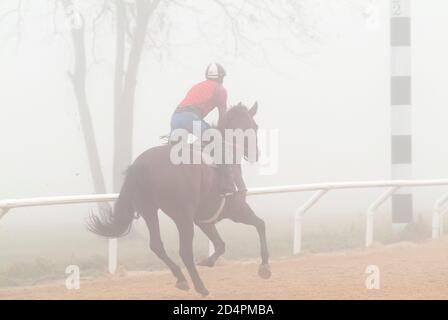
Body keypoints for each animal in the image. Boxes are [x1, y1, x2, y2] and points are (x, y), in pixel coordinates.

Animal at [87, 102, 270, 296]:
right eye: (255, 126)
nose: (255, 154)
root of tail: (141, 165)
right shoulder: (236, 210)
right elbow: (260, 224)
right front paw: (265, 267)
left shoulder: (205, 220)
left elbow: (221, 244)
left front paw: (208, 261)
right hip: (182, 216)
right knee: (185, 252)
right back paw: (200, 287)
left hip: (149, 209)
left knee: (157, 245)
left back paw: (181, 278)